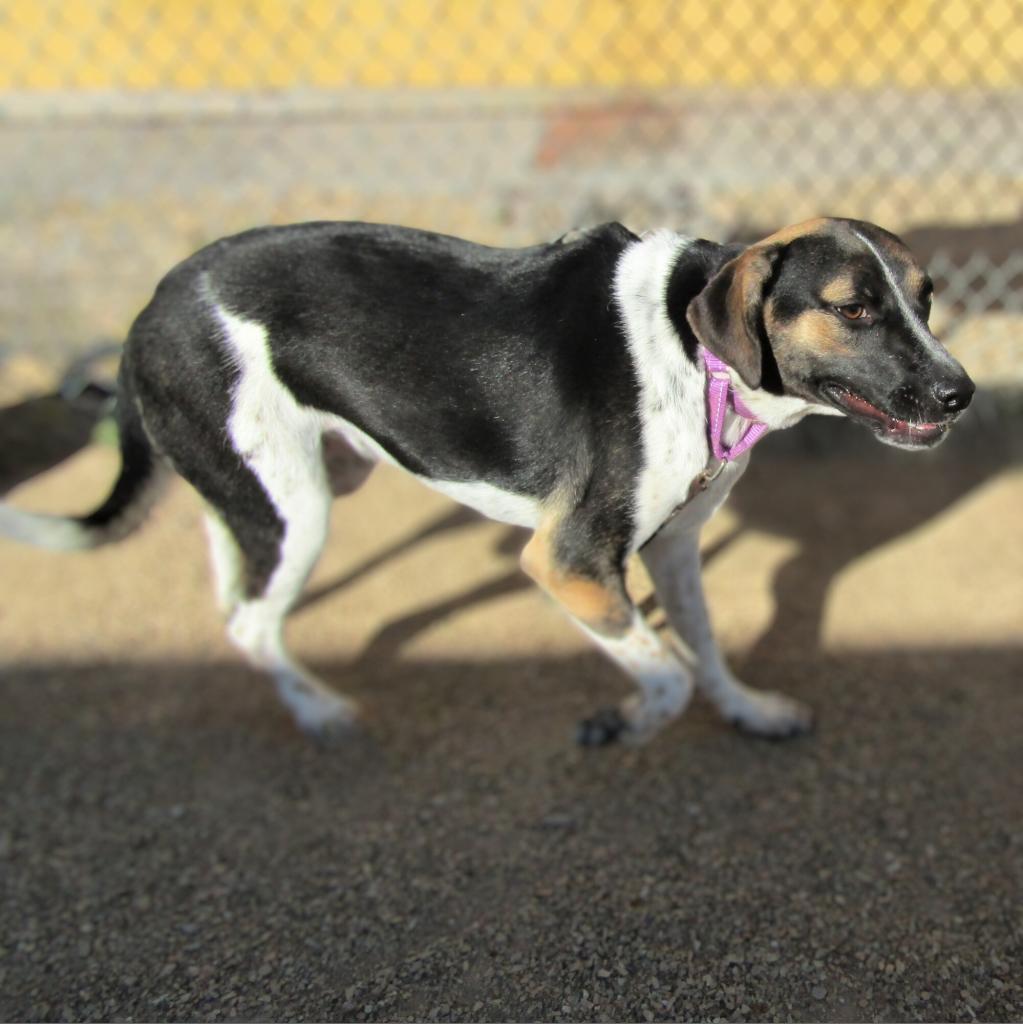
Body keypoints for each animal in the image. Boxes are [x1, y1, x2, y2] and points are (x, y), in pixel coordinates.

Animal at [0, 216, 974, 745]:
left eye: (925, 299)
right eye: (853, 308)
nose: (959, 394)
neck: (694, 350)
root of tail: (147, 309)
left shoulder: (675, 549)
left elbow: (702, 648)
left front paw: (746, 711)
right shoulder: (567, 564)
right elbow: (665, 676)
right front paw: (622, 722)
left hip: (277, 484)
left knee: (234, 586)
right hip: (300, 508)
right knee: (248, 619)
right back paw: (318, 711)